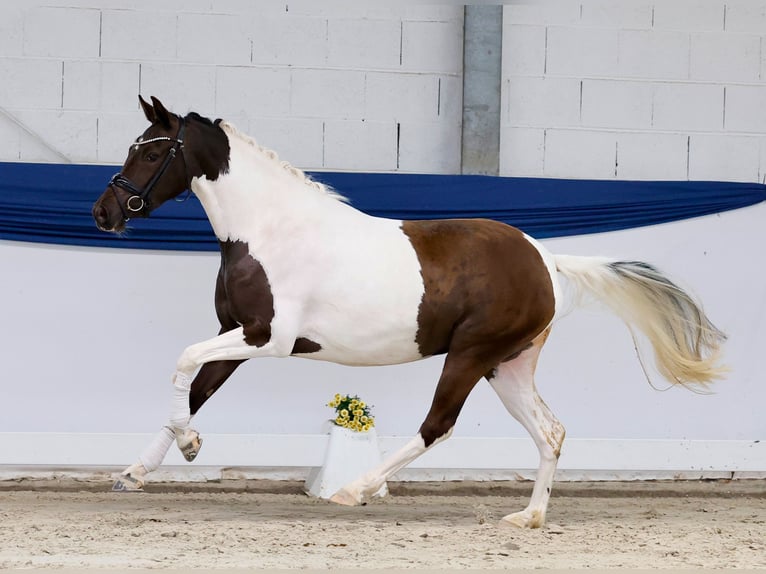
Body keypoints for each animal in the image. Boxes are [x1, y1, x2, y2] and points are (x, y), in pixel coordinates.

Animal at [92, 96, 727, 528]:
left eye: (152, 149)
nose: (104, 212)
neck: (268, 232)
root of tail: (545, 259)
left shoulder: (265, 338)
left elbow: (182, 362)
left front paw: (190, 447)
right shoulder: (235, 336)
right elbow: (195, 389)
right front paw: (140, 470)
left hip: (470, 354)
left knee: (438, 424)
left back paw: (354, 490)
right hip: (506, 365)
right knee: (550, 431)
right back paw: (528, 518)